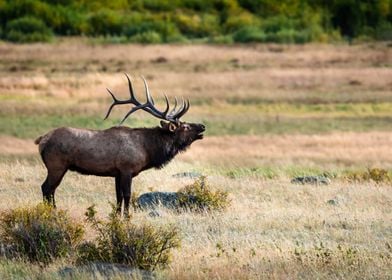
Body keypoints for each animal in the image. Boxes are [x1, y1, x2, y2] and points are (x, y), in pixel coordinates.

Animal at [34, 73, 205, 215]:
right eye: (185, 126)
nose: (202, 126)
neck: (147, 150)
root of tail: (41, 140)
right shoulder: (126, 169)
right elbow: (127, 195)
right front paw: (127, 218)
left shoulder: (116, 173)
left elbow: (118, 197)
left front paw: (117, 217)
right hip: (56, 165)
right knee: (47, 188)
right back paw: (52, 213)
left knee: (50, 189)